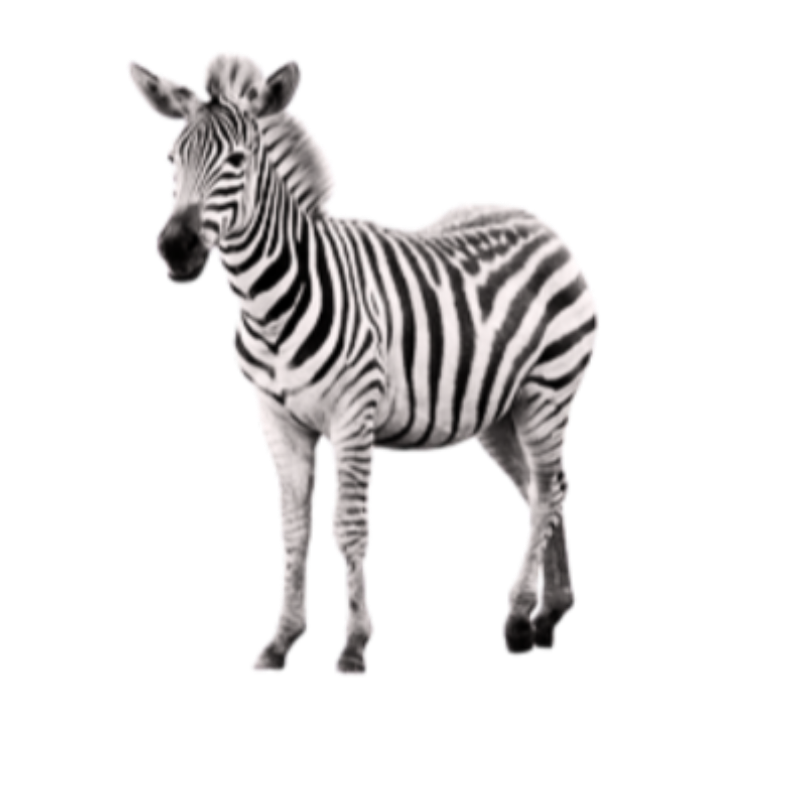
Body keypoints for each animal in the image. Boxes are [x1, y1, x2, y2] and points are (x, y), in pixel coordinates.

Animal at [127, 52, 600, 676]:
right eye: (170, 161)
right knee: (546, 490)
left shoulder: (353, 414)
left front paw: (353, 644)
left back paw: (521, 618)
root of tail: (537, 220)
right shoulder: (275, 418)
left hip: (547, 390)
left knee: (546, 489)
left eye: (237, 161)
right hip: (499, 411)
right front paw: (280, 640)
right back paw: (552, 610)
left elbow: (348, 530)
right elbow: (293, 530)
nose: (175, 249)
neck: (272, 300)